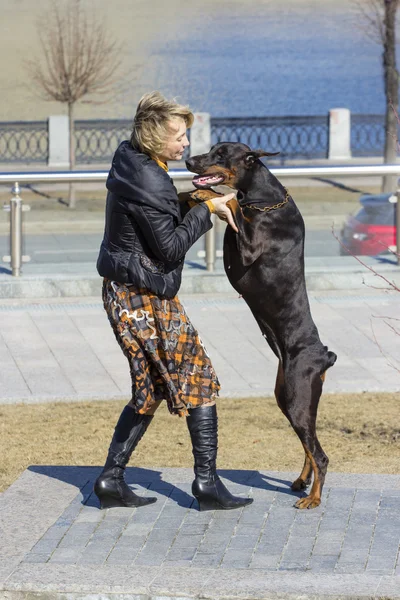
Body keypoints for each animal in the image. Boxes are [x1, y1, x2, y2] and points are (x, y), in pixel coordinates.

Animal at [186, 143, 336, 508]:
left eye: (221, 154)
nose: (188, 160)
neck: (265, 199)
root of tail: (324, 356)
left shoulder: (251, 247)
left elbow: (233, 205)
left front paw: (208, 195)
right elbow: (230, 204)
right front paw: (198, 193)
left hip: (297, 397)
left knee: (320, 454)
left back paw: (313, 498)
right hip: (287, 396)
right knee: (309, 445)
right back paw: (302, 481)